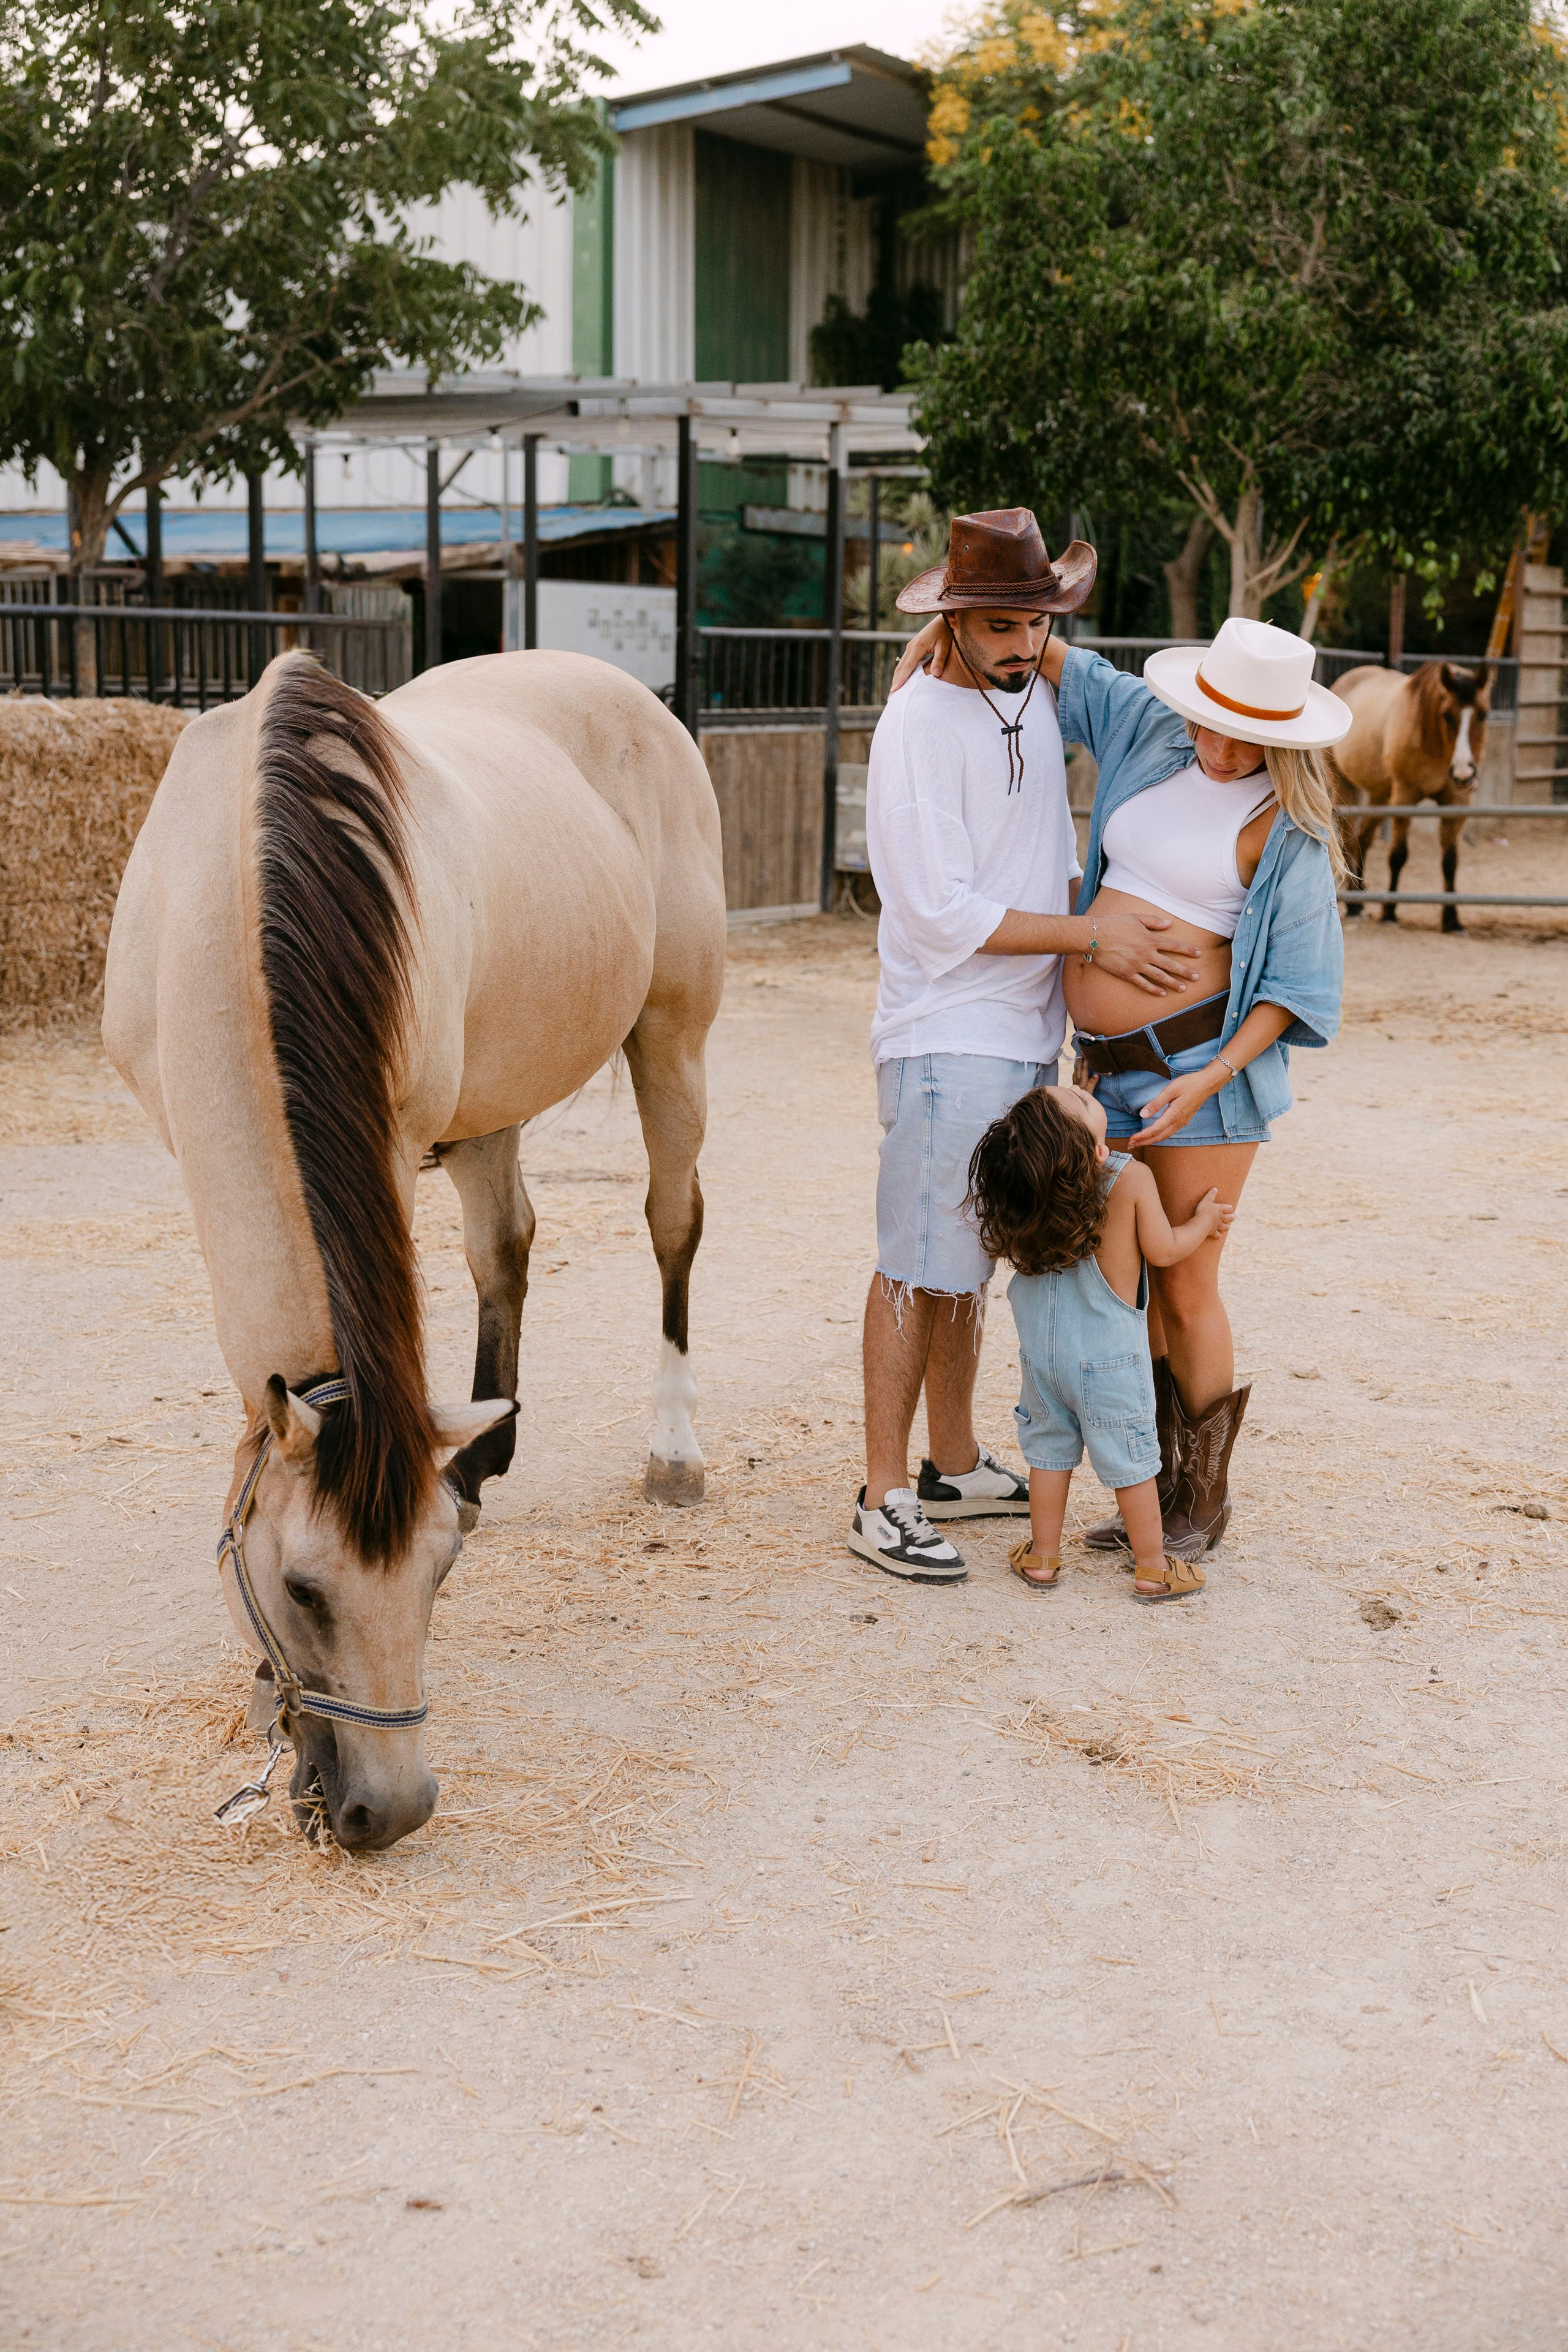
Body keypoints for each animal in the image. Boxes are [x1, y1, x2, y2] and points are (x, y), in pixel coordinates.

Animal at [103, 650, 726, 1851]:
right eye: (302, 1590)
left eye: (440, 1577)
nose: (388, 1812)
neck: (235, 881)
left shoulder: (390, 1141)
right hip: (495, 1098)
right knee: (506, 1248)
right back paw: (480, 1454)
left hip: (671, 1035)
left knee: (674, 1225)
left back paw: (673, 1448)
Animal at [1329, 660, 1493, 933]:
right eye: (1447, 715)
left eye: (1483, 714)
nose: (1463, 773)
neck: (1434, 743)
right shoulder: (1404, 799)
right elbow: (1398, 856)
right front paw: (1389, 912)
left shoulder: (1456, 804)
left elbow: (1450, 862)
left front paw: (1452, 920)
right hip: (1344, 785)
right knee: (1349, 839)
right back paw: (1352, 904)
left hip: (1380, 796)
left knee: (1363, 839)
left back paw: (1358, 900)